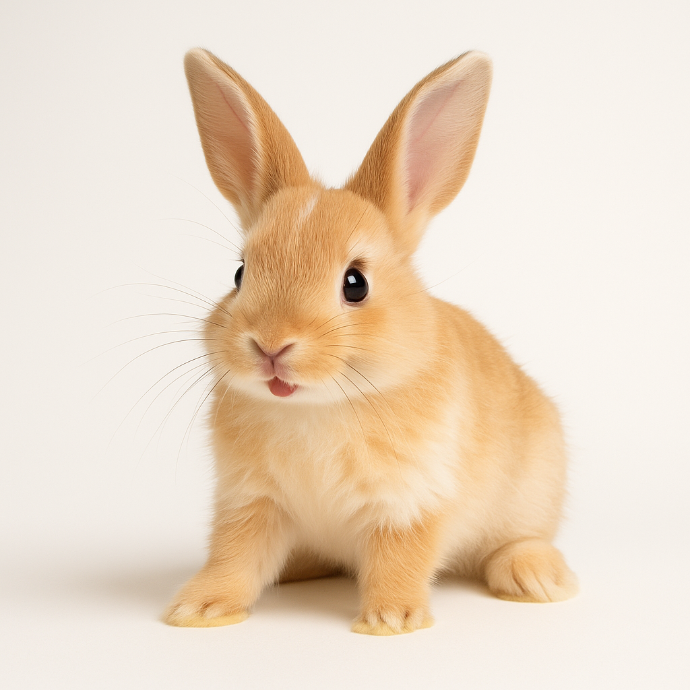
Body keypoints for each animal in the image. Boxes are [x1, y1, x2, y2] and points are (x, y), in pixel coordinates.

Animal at [163, 47, 578, 636]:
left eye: (355, 283)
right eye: (241, 273)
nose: (271, 345)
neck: (317, 406)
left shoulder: (410, 501)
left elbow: (399, 557)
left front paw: (391, 621)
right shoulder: (251, 501)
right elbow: (233, 557)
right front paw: (198, 610)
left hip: (533, 487)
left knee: (519, 539)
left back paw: (536, 578)